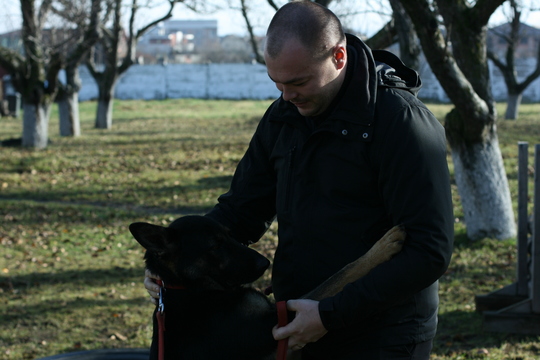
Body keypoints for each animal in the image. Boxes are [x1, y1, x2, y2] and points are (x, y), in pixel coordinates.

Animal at [127, 215, 404, 358]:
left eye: (230, 235)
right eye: (215, 245)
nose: (265, 262)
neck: (191, 290)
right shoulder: (278, 323)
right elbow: (340, 275)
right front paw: (381, 247)